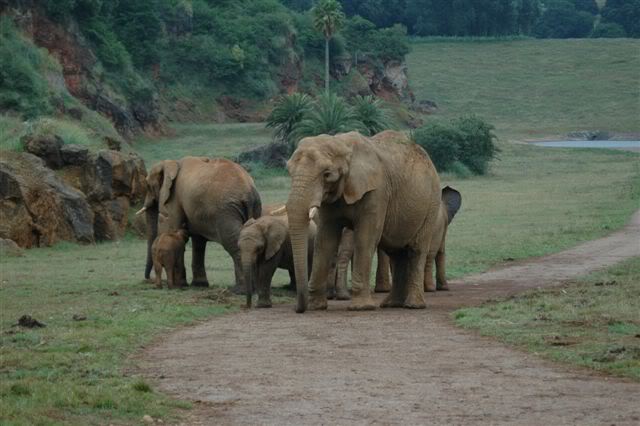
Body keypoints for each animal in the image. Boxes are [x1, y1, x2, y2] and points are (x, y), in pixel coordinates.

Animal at [139, 156, 262, 292]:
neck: (172, 163)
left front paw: (180, 285)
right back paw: (255, 289)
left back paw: (241, 290)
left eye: (148, 186)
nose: (148, 278)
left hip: (226, 212)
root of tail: (249, 192)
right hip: (255, 208)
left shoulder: (173, 197)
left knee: (234, 244)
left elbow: (170, 225)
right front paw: (199, 284)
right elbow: (198, 241)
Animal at [286, 130, 442, 312]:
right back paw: (392, 304)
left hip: (432, 202)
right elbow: (325, 240)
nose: (298, 309)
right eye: (289, 172)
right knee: (396, 252)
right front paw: (316, 307)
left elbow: (365, 238)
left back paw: (413, 305)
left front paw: (361, 307)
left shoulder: (377, 191)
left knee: (416, 250)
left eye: (327, 174)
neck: (342, 143)